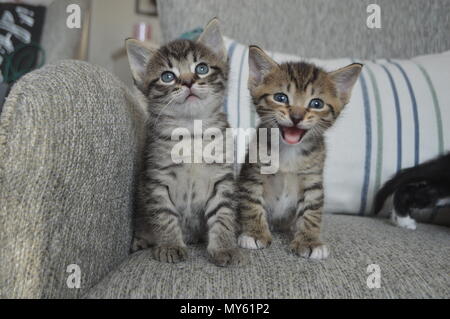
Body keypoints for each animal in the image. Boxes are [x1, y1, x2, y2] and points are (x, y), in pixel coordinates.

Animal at [125, 18, 241, 266]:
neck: (191, 131)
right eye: (167, 76)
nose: (188, 82)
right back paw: (141, 240)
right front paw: (170, 245)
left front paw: (225, 247)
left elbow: (223, 213)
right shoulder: (157, 179)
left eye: (201, 68)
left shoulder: (222, 178)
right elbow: (164, 215)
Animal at [239, 47, 362, 260]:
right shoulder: (253, 173)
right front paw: (254, 233)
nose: (296, 117)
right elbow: (252, 202)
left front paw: (309, 241)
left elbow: (312, 211)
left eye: (316, 103)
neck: (289, 152)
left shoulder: (313, 178)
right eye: (281, 98)